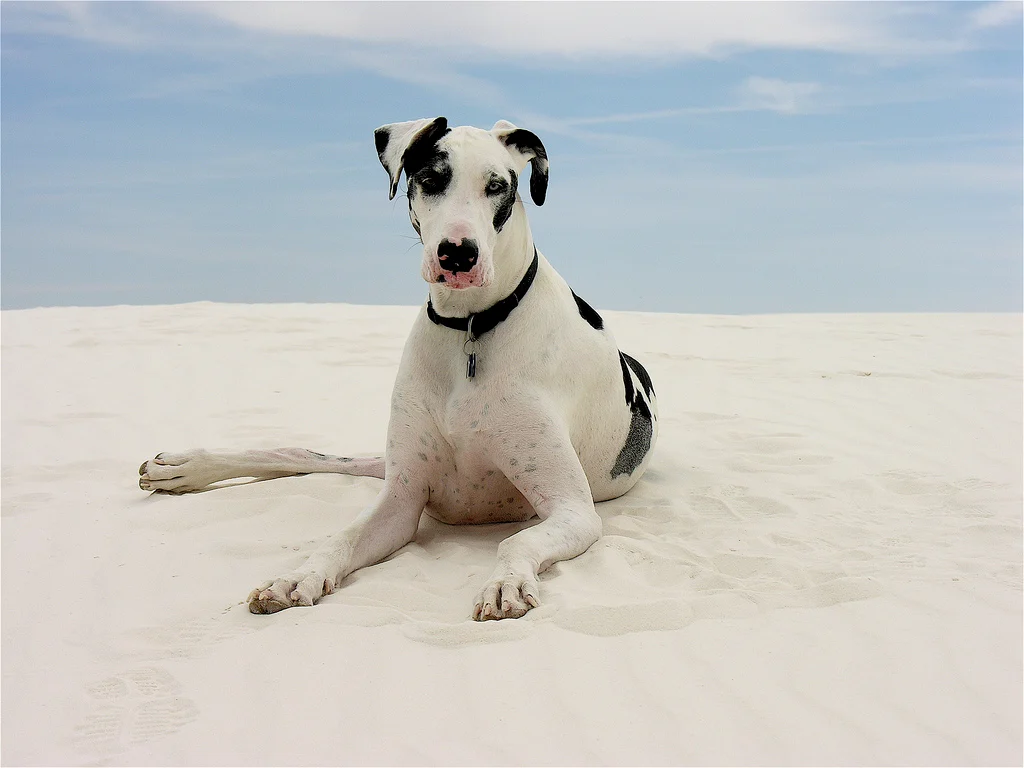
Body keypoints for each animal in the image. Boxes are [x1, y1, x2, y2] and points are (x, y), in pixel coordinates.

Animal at [138, 121, 655, 626]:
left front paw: (504, 583)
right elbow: (340, 538)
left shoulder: (573, 510)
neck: (471, 327)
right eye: (430, 179)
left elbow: (517, 540)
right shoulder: (401, 499)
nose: (457, 254)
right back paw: (185, 467)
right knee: (307, 453)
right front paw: (295, 577)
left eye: (496, 186)